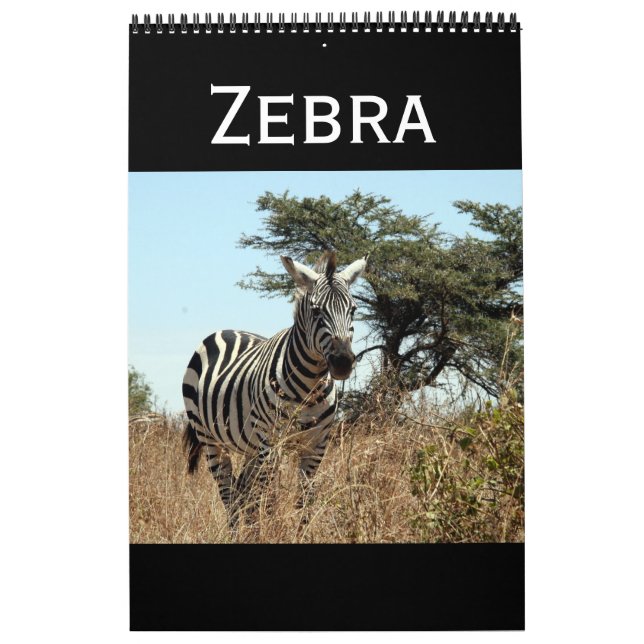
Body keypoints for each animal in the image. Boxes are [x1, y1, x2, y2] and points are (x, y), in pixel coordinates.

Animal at [181, 250, 368, 524]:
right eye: (316, 311)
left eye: (353, 310)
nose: (343, 361)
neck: (309, 388)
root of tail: (225, 330)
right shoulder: (271, 444)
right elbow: (270, 501)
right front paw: (272, 529)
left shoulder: (316, 446)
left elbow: (304, 501)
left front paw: (300, 531)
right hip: (211, 439)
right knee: (229, 495)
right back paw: (236, 529)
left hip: (250, 446)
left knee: (243, 492)